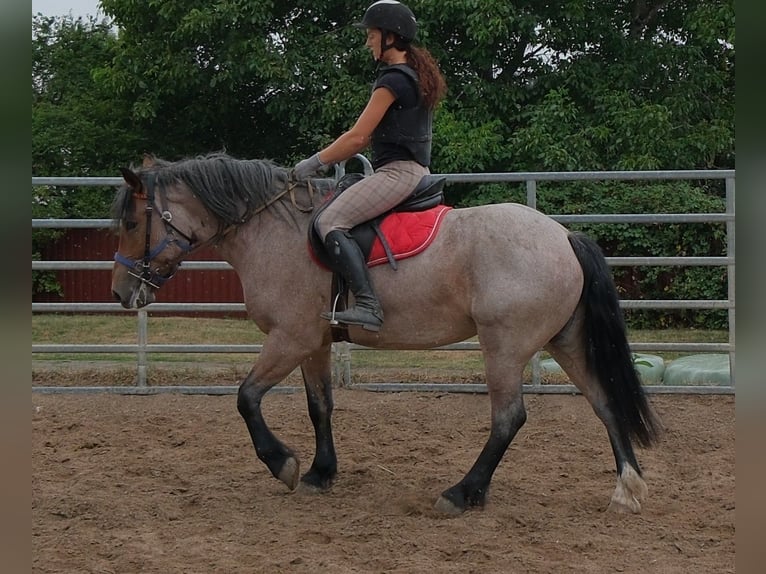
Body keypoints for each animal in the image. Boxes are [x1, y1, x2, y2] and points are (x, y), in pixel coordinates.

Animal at [110, 152, 661, 515]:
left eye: (133, 221)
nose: (120, 292)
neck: (274, 231)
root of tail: (563, 235)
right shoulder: (315, 342)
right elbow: (319, 406)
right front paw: (320, 473)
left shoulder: (290, 337)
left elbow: (246, 398)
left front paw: (282, 464)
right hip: (564, 341)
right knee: (604, 402)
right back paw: (628, 488)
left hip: (503, 347)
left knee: (509, 418)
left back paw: (463, 493)